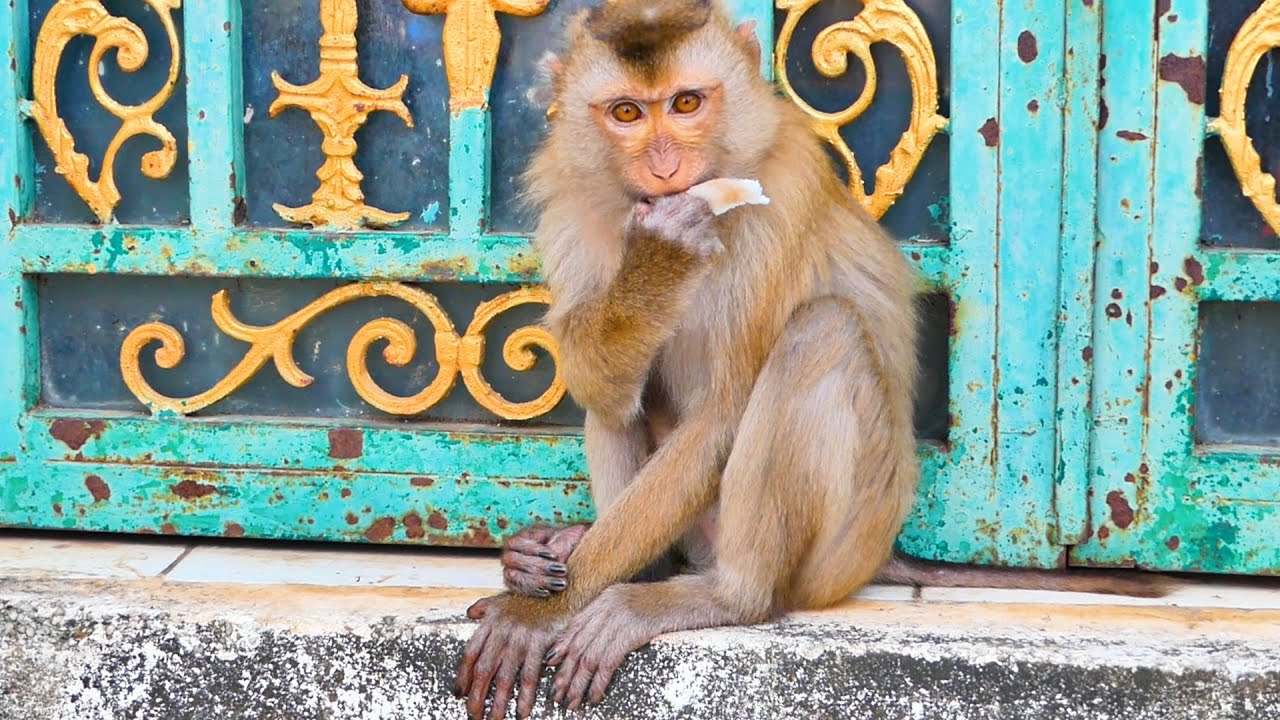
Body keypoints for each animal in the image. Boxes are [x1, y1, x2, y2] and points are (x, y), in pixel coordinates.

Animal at [454, 3, 1164, 718]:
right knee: (623, 397)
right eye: (626, 112)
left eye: (686, 103)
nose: (664, 166)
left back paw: (724, 596)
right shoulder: (573, 207)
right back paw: (594, 560)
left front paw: (538, 616)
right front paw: (654, 263)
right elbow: (597, 383)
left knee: (822, 330)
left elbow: (721, 415)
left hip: (832, 555)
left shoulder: (778, 200)